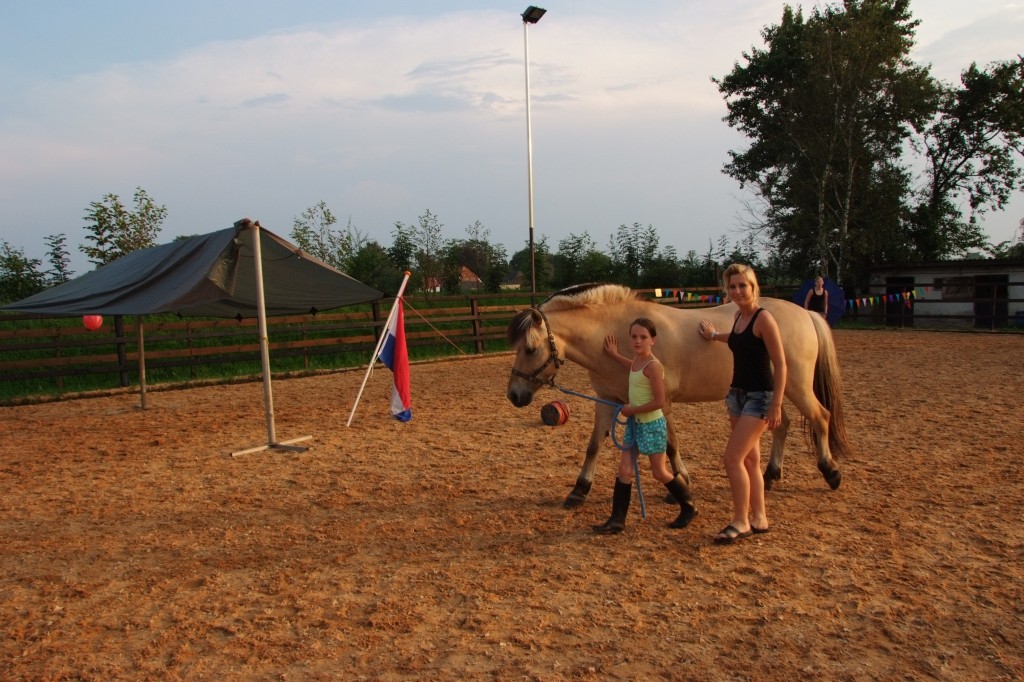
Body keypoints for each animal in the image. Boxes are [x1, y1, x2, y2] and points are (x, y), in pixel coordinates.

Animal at [505, 283, 851, 510]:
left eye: (531, 349)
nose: (514, 395)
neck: (619, 333)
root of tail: (806, 314)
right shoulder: (608, 401)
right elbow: (594, 446)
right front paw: (579, 491)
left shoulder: (663, 402)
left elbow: (671, 445)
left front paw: (679, 485)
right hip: (773, 392)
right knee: (782, 424)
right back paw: (770, 475)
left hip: (797, 386)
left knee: (820, 417)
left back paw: (831, 472)